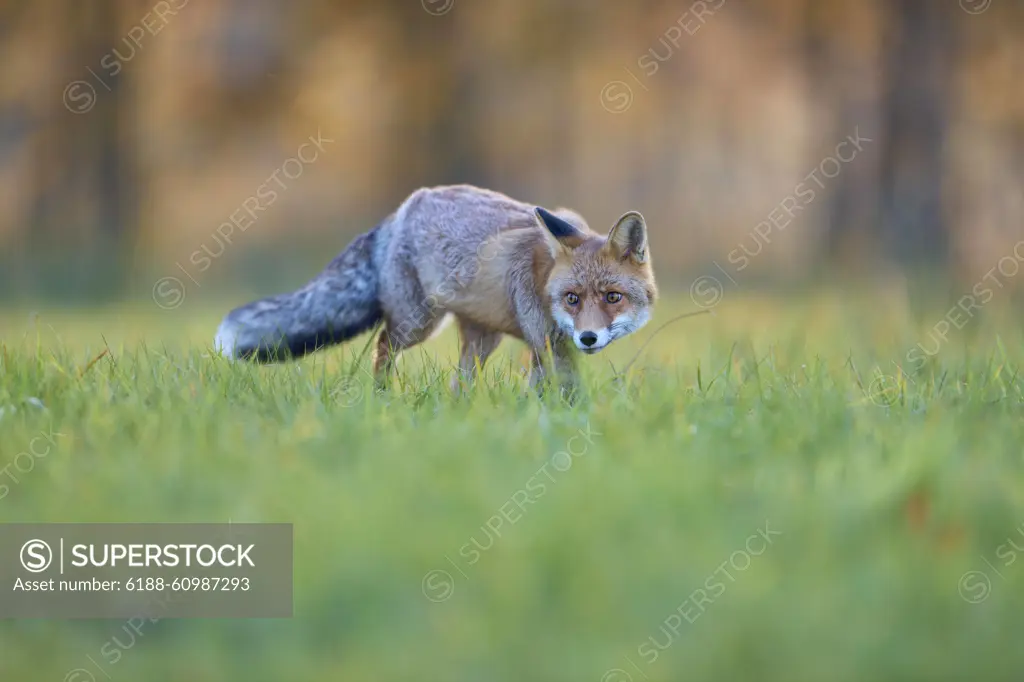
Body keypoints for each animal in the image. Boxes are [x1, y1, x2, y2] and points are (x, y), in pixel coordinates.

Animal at [217, 183, 659, 391]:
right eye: (572, 299)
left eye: (613, 297)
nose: (588, 337)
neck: (543, 272)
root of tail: (401, 211)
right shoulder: (546, 342)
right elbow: (563, 392)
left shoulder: (547, 347)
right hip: (418, 324)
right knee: (382, 346)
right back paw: (382, 398)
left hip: (480, 340)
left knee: (457, 384)